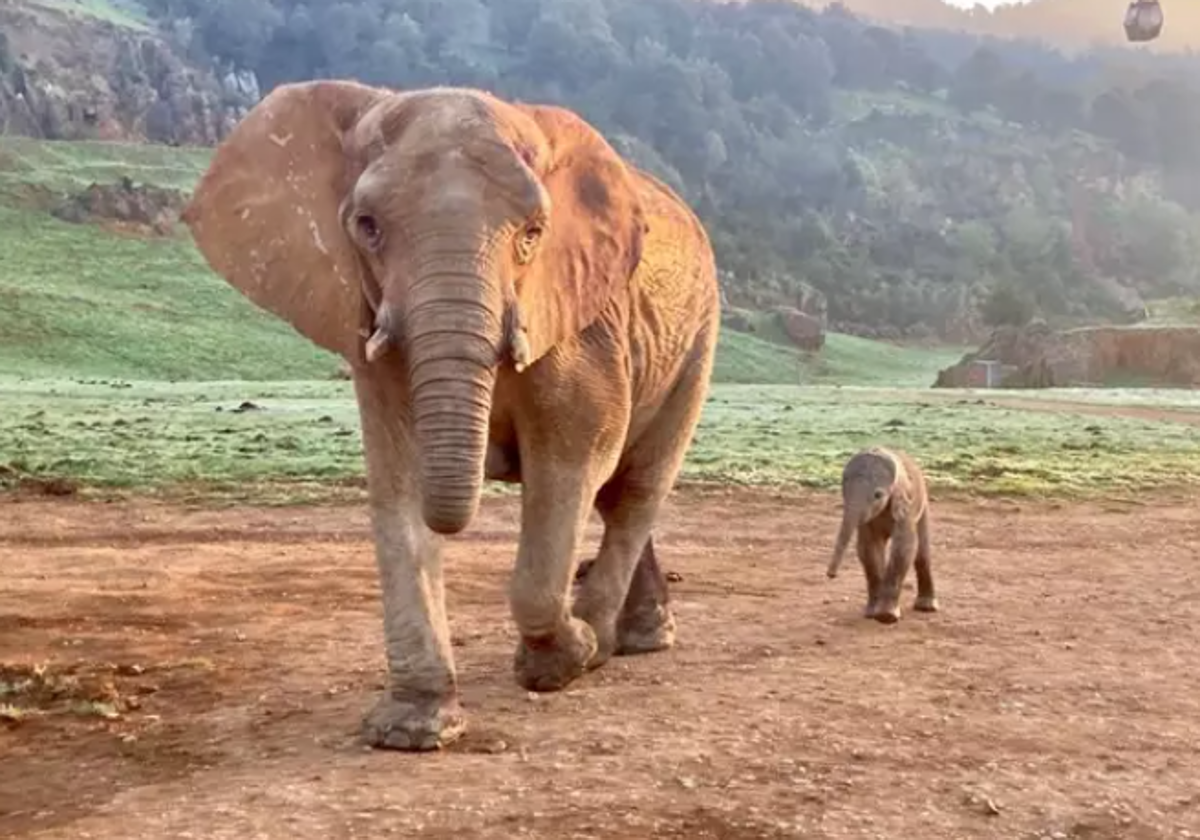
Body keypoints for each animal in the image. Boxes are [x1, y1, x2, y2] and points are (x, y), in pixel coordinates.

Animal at [182, 82, 715, 753]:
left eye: (533, 233)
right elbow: (398, 481)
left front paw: (561, 660)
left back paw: (609, 644)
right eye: (367, 227)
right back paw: (627, 638)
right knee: (616, 493)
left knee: (633, 489)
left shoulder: (580, 324)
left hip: (698, 340)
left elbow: (571, 460)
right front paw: (411, 731)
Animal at [825, 446, 936, 624]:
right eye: (843, 493)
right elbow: (868, 549)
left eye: (878, 495)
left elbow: (904, 546)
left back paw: (926, 607)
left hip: (923, 504)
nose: (831, 575)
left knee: (922, 553)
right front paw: (872, 614)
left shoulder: (906, 506)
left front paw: (886, 617)